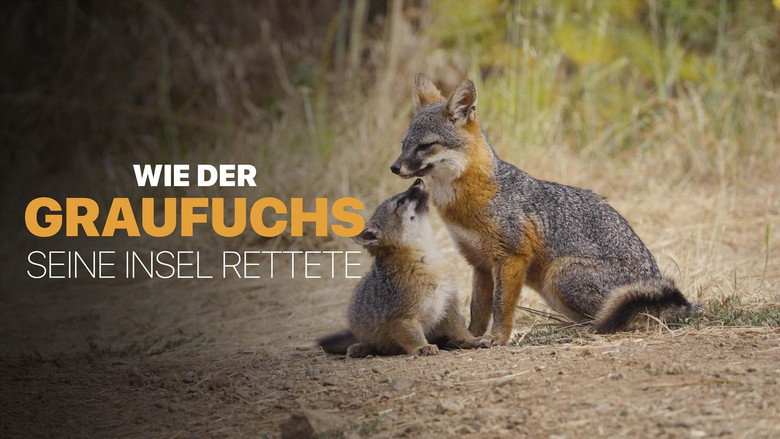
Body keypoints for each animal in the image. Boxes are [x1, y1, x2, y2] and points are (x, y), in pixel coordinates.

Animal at [318, 178, 481, 357]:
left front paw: (471, 340)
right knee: (367, 344)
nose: (418, 180)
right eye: (400, 202)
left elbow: (460, 329)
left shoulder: (448, 305)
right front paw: (422, 347)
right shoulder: (401, 317)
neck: (428, 262)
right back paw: (359, 348)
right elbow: (412, 336)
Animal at [389, 73, 693, 346]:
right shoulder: (480, 263)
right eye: (403, 144)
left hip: (558, 274)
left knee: (613, 318)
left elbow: (501, 306)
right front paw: (469, 338)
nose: (394, 167)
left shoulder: (511, 257)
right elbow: (478, 309)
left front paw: (497, 338)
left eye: (425, 146)